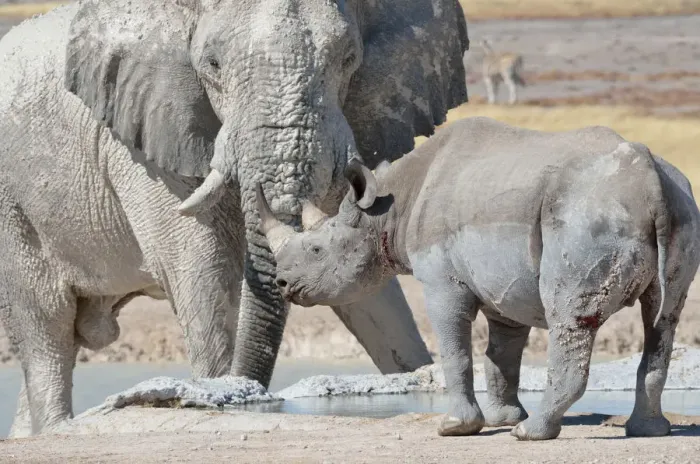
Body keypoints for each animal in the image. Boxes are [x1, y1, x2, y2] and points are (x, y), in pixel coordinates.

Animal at [0, 0, 469, 435]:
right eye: (212, 64)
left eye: (349, 58)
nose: (253, 394)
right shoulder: (141, 141)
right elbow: (203, 272)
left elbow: (367, 289)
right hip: (13, 210)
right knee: (48, 330)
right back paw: (55, 427)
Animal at [256, 116, 700, 440]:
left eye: (316, 251)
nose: (282, 284)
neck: (386, 208)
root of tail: (649, 180)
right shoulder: (506, 283)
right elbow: (502, 351)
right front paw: (503, 418)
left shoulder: (441, 282)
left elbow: (455, 350)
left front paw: (457, 427)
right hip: (679, 203)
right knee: (663, 318)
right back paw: (648, 431)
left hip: (586, 216)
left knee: (569, 318)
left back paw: (530, 434)